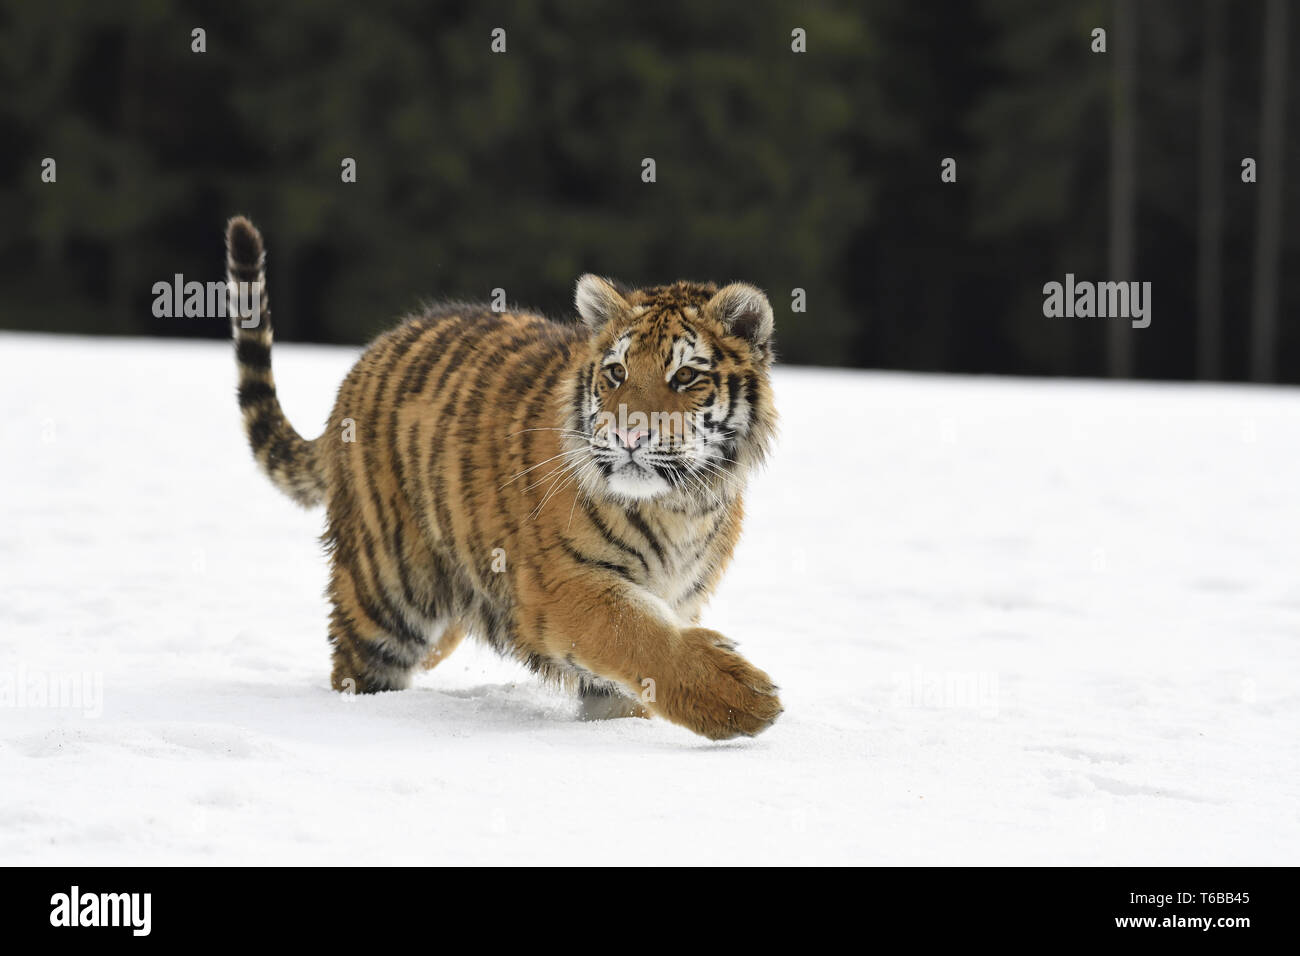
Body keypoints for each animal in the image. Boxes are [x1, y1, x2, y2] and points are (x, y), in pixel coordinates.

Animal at [225, 215, 782, 739]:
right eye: (617, 372)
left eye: (685, 376)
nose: (627, 434)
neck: (680, 505)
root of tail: (368, 357)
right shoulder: (560, 586)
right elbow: (638, 636)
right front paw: (742, 699)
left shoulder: (672, 600)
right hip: (386, 590)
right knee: (357, 663)